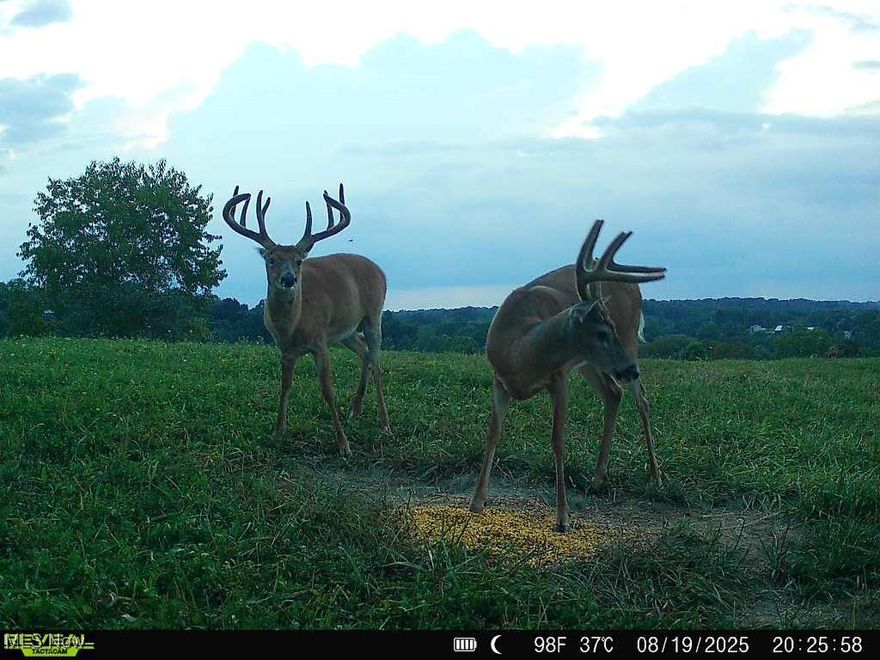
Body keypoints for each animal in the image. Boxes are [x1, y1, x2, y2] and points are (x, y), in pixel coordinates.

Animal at [221, 184, 390, 457]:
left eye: (299, 261)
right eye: (271, 259)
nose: (289, 279)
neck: (293, 326)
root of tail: (380, 270)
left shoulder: (320, 342)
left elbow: (328, 391)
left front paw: (343, 444)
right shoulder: (285, 350)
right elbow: (285, 386)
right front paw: (278, 431)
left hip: (374, 315)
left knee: (376, 364)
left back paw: (384, 425)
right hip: (347, 332)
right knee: (365, 353)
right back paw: (355, 411)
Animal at [469, 219, 666, 532]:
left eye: (609, 328)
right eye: (601, 332)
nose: (631, 369)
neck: (519, 352)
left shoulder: (559, 377)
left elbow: (557, 441)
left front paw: (562, 518)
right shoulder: (498, 379)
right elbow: (493, 434)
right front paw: (477, 501)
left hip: (629, 340)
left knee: (642, 401)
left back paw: (656, 478)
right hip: (592, 364)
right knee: (614, 393)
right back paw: (598, 479)